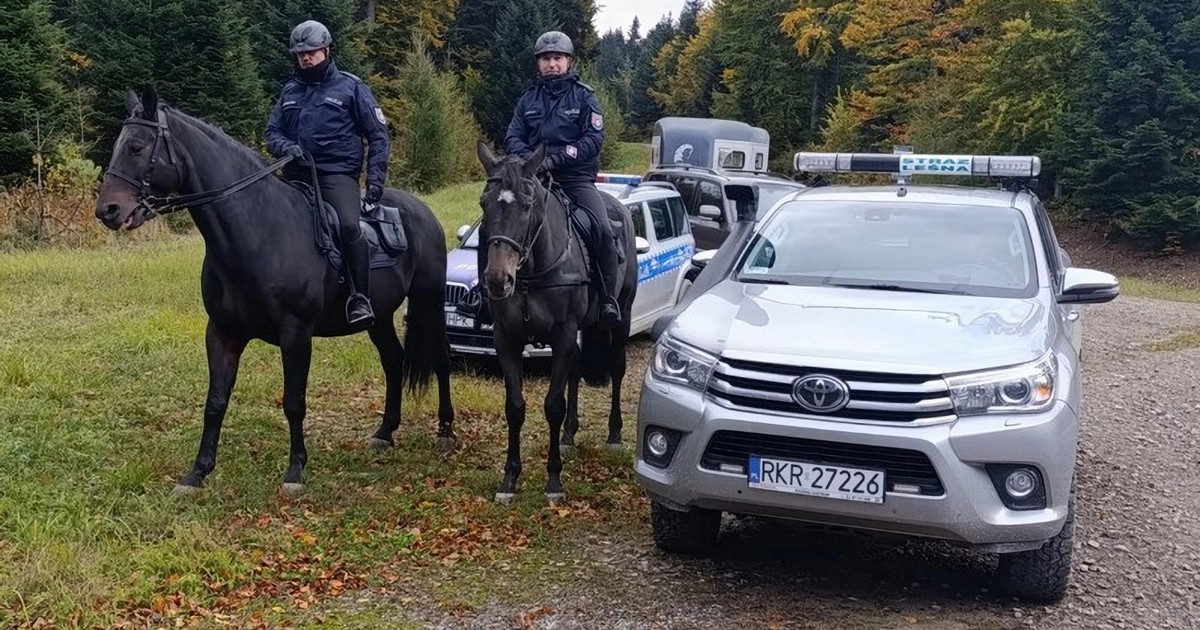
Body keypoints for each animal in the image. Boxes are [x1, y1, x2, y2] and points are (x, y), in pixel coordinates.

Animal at [94, 87, 453, 492]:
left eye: (137, 146)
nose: (107, 210)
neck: (259, 231)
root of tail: (422, 211)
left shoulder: (296, 334)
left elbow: (294, 401)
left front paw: (295, 470)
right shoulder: (222, 333)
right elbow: (215, 401)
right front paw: (197, 472)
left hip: (428, 301)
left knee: (441, 359)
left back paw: (445, 430)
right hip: (380, 317)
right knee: (393, 360)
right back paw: (385, 431)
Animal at [472, 139, 638, 504]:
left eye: (527, 205)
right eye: (483, 203)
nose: (497, 279)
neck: (532, 271)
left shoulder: (562, 336)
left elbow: (552, 405)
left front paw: (553, 480)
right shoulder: (507, 339)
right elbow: (515, 406)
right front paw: (510, 479)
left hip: (622, 316)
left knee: (617, 369)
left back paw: (614, 434)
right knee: (574, 372)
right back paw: (569, 435)